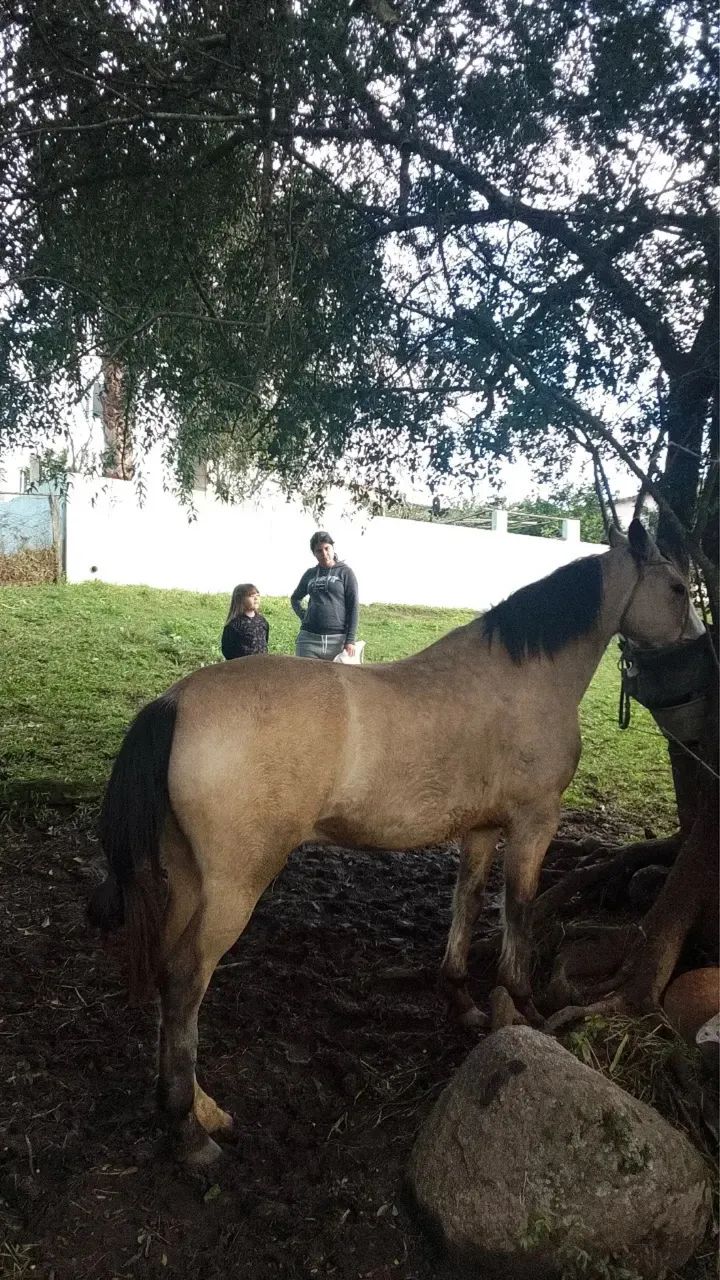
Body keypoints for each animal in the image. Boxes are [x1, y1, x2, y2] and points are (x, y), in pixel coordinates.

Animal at [89, 520, 703, 1164]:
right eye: (677, 587)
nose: (697, 654)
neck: (521, 678)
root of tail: (174, 702)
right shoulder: (535, 822)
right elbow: (519, 907)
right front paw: (524, 1004)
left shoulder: (482, 829)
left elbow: (467, 901)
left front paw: (462, 999)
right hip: (234, 887)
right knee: (187, 981)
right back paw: (190, 1132)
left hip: (187, 880)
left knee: (169, 978)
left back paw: (203, 1108)